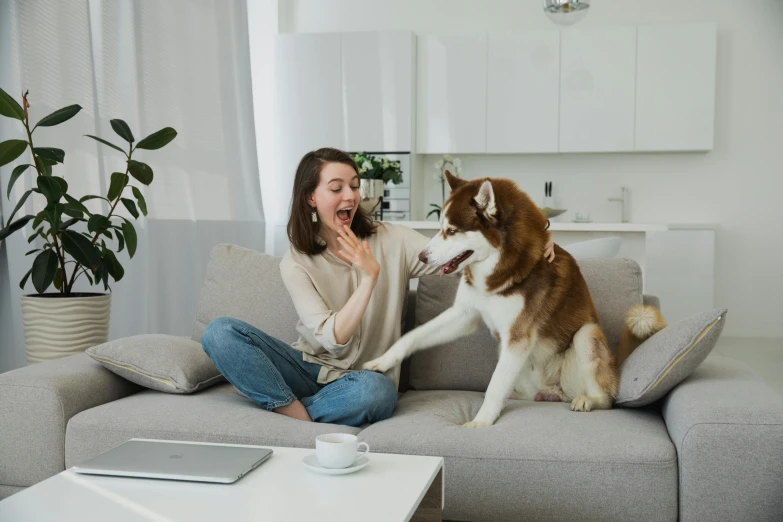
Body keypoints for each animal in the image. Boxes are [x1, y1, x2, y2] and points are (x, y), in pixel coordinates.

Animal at [364, 173, 664, 424]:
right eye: (439, 227)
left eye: (452, 230)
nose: (422, 256)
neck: (497, 268)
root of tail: (551, 391)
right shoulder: (464, 315)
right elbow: (412, 336)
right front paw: (382, 361)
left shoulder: (518, 336)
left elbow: (494, 385)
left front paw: (480, 423)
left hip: (585, 337)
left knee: (607, 397)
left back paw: (588, 401)